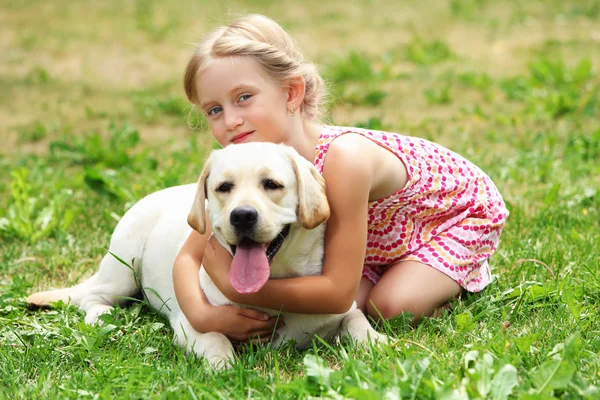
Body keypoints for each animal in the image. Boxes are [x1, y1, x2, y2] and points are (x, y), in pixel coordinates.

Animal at [27, 143, 384, 368]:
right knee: (93, 299)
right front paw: (223, 366)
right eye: (223, 187)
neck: (274, 287)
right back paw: (104, 318)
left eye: (272, 184)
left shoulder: (344, 307)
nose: (242, 216)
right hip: (122, 270)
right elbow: (215, 339)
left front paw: (378, 342)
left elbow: (358, 322)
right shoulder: (191, 322)